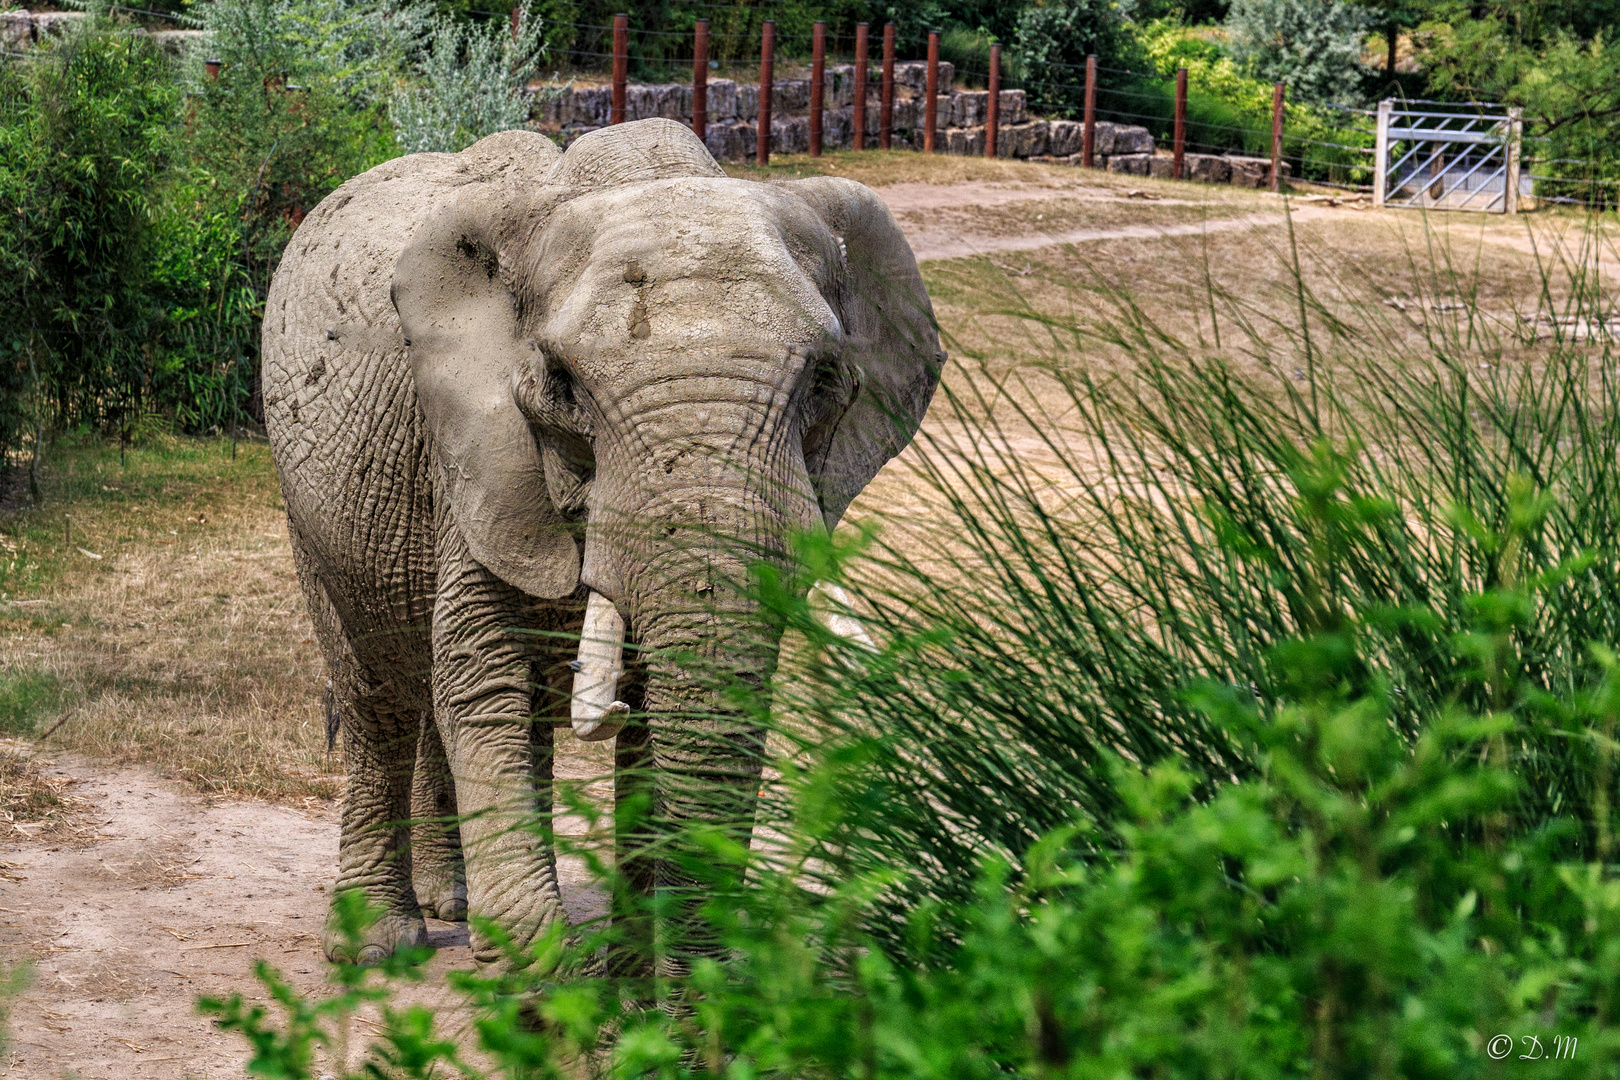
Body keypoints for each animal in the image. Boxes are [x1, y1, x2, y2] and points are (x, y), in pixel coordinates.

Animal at [264, 118, 946, 965]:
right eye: (563, 383)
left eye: (825, 380)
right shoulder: (475, 451)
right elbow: (486, 680)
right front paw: (543, 966)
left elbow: (648, 709)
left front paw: (636, 972)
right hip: (311, 506)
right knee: (379, 694)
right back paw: (381, 944)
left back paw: (455, 902)